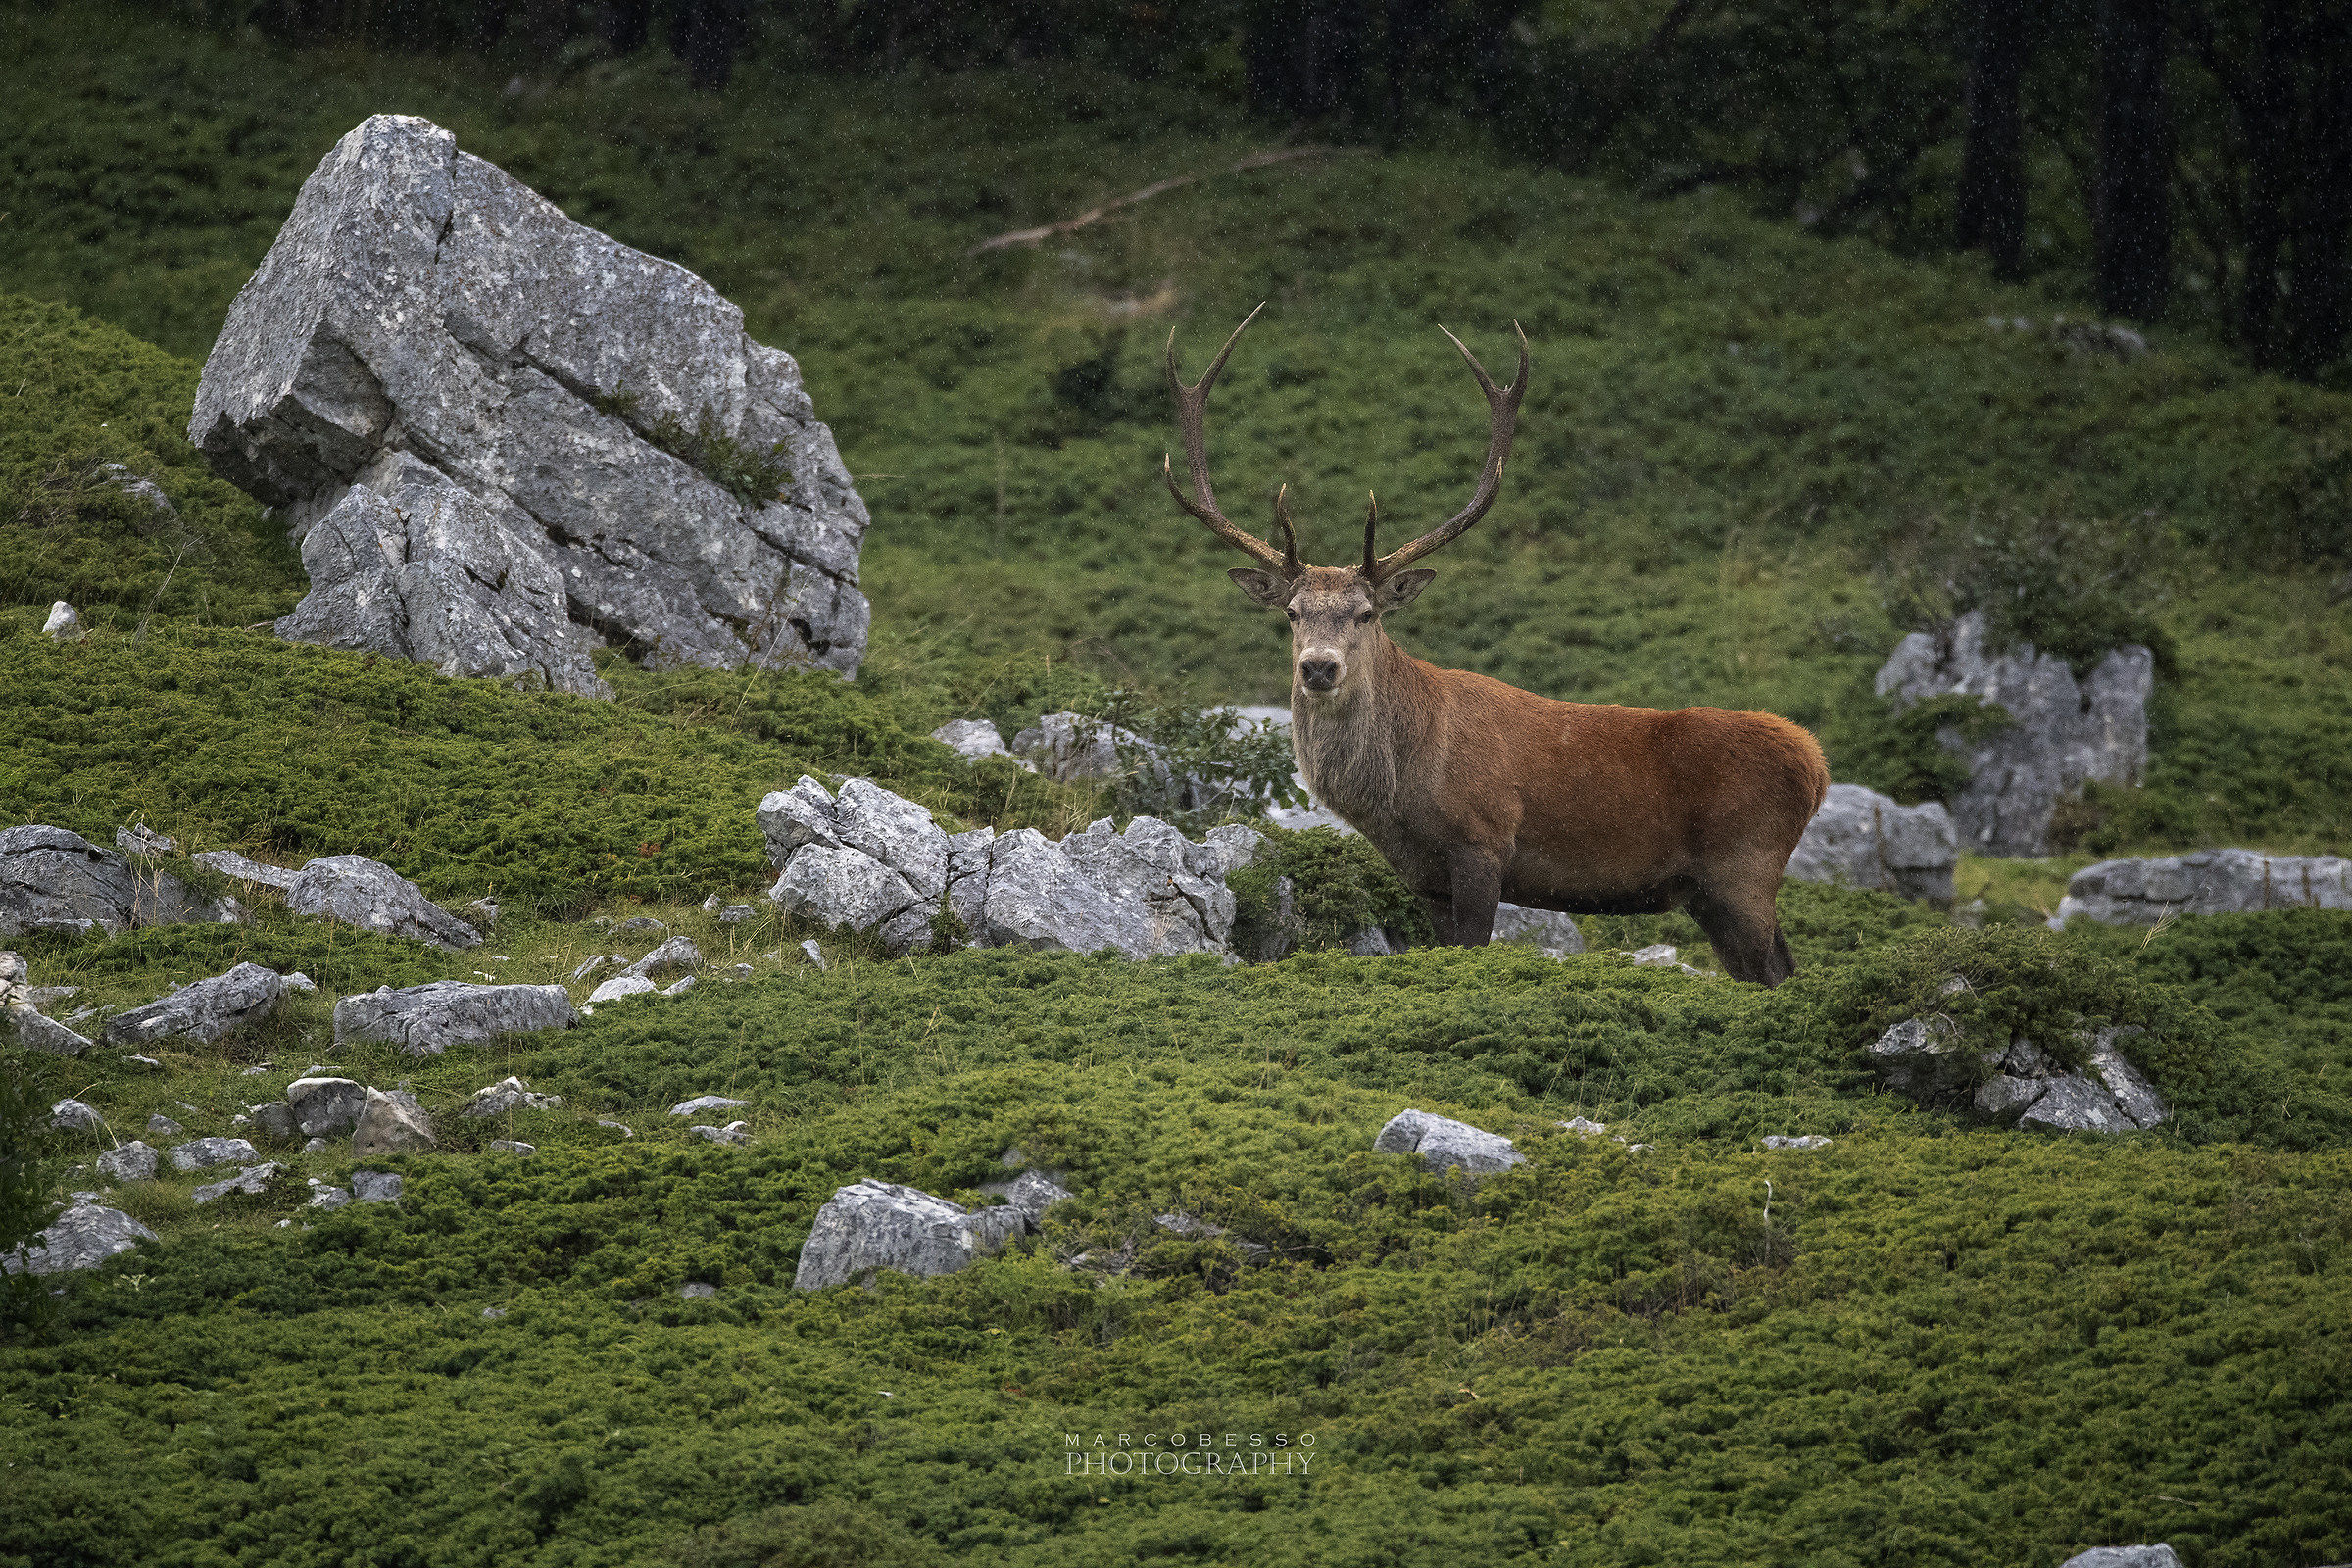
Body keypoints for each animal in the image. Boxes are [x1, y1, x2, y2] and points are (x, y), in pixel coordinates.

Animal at [1162, 307, 1829, 985]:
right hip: (1712, 894)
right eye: (1293, 612)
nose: (1318, 668)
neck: (1402, 797)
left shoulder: (1483, 841)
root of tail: (1816, 762)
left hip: (1744, 869)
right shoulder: (1424, 877)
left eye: (1367, 613)